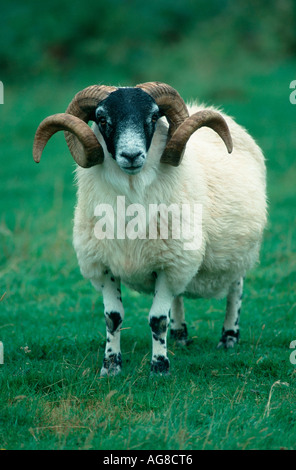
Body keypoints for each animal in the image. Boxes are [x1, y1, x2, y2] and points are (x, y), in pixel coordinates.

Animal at [33, 81, 268, 374]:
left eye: (154, 117)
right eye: (102, 119)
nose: (131, 155)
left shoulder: (169, 265)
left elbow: (157, 319)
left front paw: (160, 367)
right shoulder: (106, 264)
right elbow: (113, 317)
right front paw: (110, 366)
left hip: (237, 250)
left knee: (235, 288)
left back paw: (229, 338)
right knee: (179, 297)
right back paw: (180, 335)